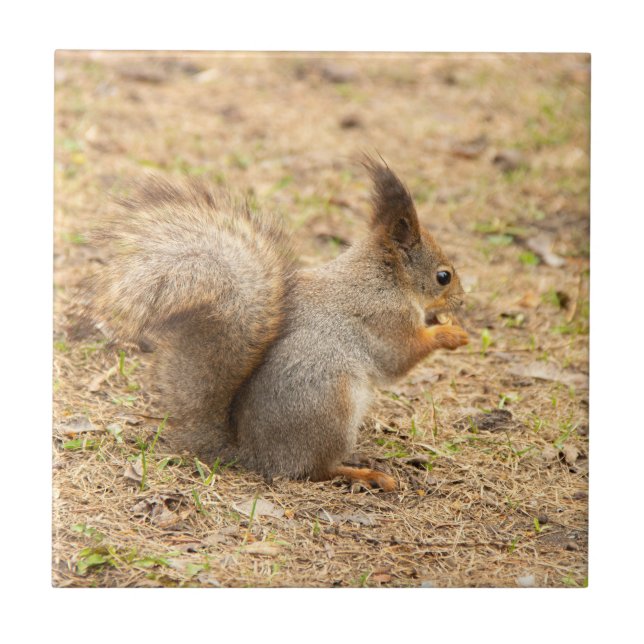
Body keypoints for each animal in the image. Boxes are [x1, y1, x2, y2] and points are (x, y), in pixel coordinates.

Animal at [83, 156, 469, 491]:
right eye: (443, 276)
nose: (462, 301)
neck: (385, 278)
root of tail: (256, 455)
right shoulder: (385, 318)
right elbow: (400, 357)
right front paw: (450, 333)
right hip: (331, 407)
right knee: (315, 470)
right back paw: (364, 474)